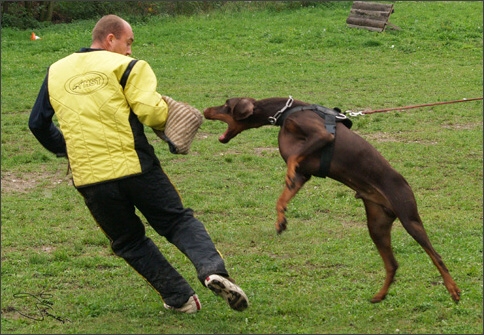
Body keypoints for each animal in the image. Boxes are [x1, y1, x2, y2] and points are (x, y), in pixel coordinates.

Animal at [203, 96, 462, 304]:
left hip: (409, 218)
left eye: (226, 104)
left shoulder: (321, 135)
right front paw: (281, 220)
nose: (205, 109)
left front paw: (286, 177)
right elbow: (282, 196)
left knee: (436, 257)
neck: (285, 113)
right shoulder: (303, 175)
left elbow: (293, 160)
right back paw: (380, 295)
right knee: (393, 264)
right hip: (376, 225)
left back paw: (453, 290)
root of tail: (404, 184)